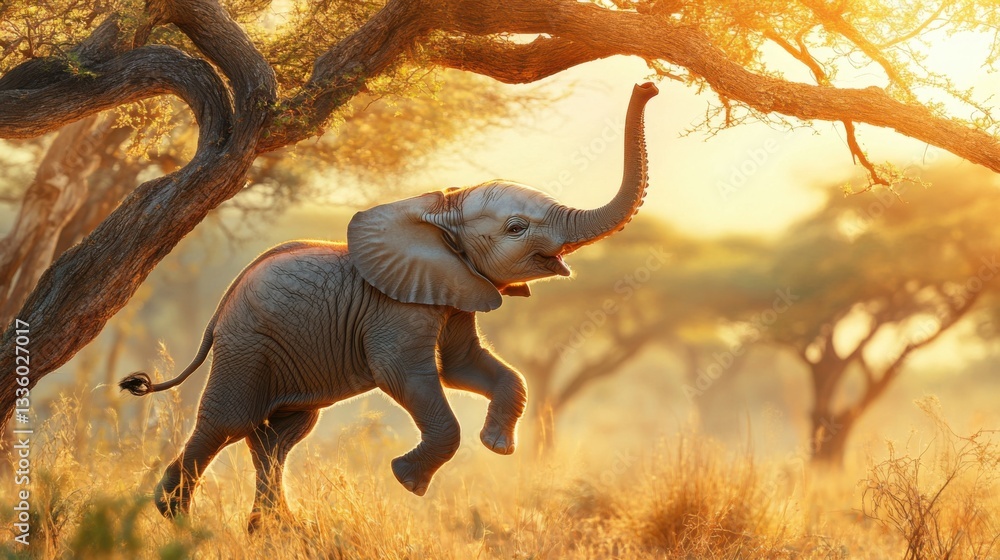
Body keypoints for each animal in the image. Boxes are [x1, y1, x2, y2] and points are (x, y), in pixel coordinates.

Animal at [119, 82, 658, 529]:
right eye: (516, 228)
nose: (647, 85)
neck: (439, 209)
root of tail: (221, 305)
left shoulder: (453, 292)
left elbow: (466, 367)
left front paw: (497, 447)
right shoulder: (396, 308)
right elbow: (403, 373)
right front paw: (406, 479)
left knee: (279, 435)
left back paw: (274, 530)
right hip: (247, 342)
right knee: (230, 422)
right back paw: (176, 518)